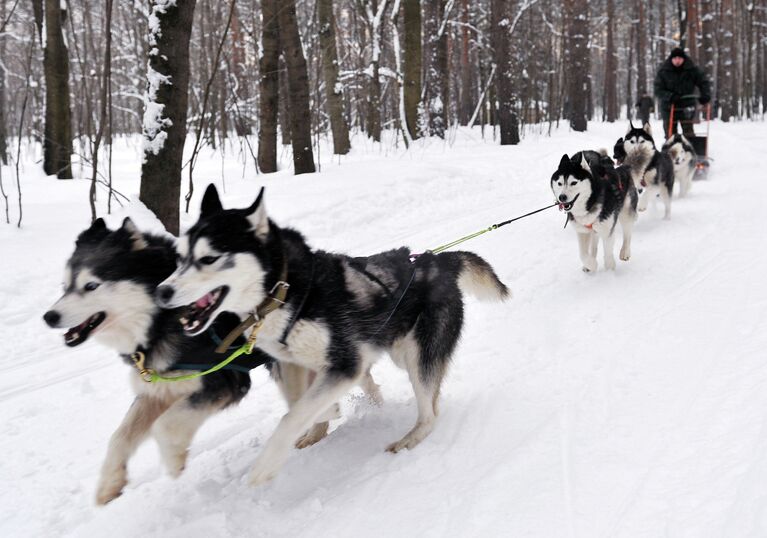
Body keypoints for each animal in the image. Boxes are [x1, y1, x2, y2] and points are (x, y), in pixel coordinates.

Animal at [44, 217, 272, 502]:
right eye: (65, 287)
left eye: (91, 286)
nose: (49, 317)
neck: (160, 317)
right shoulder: (159, 388)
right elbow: (120, 436)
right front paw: (110, 482)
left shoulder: (224, 381)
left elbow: (165, 426)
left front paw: (174, 460)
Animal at [155, 184, 510, 486]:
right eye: (179, 258)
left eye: (209, 258)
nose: (162, 292)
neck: (288, 291)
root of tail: (436, 259)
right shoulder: (293, 363)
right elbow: (297, 403)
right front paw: (323, 418)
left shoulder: (344, 365)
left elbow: (292, 416)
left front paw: (265, 466)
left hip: (413, 356)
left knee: (430, 413)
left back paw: (409, 438)